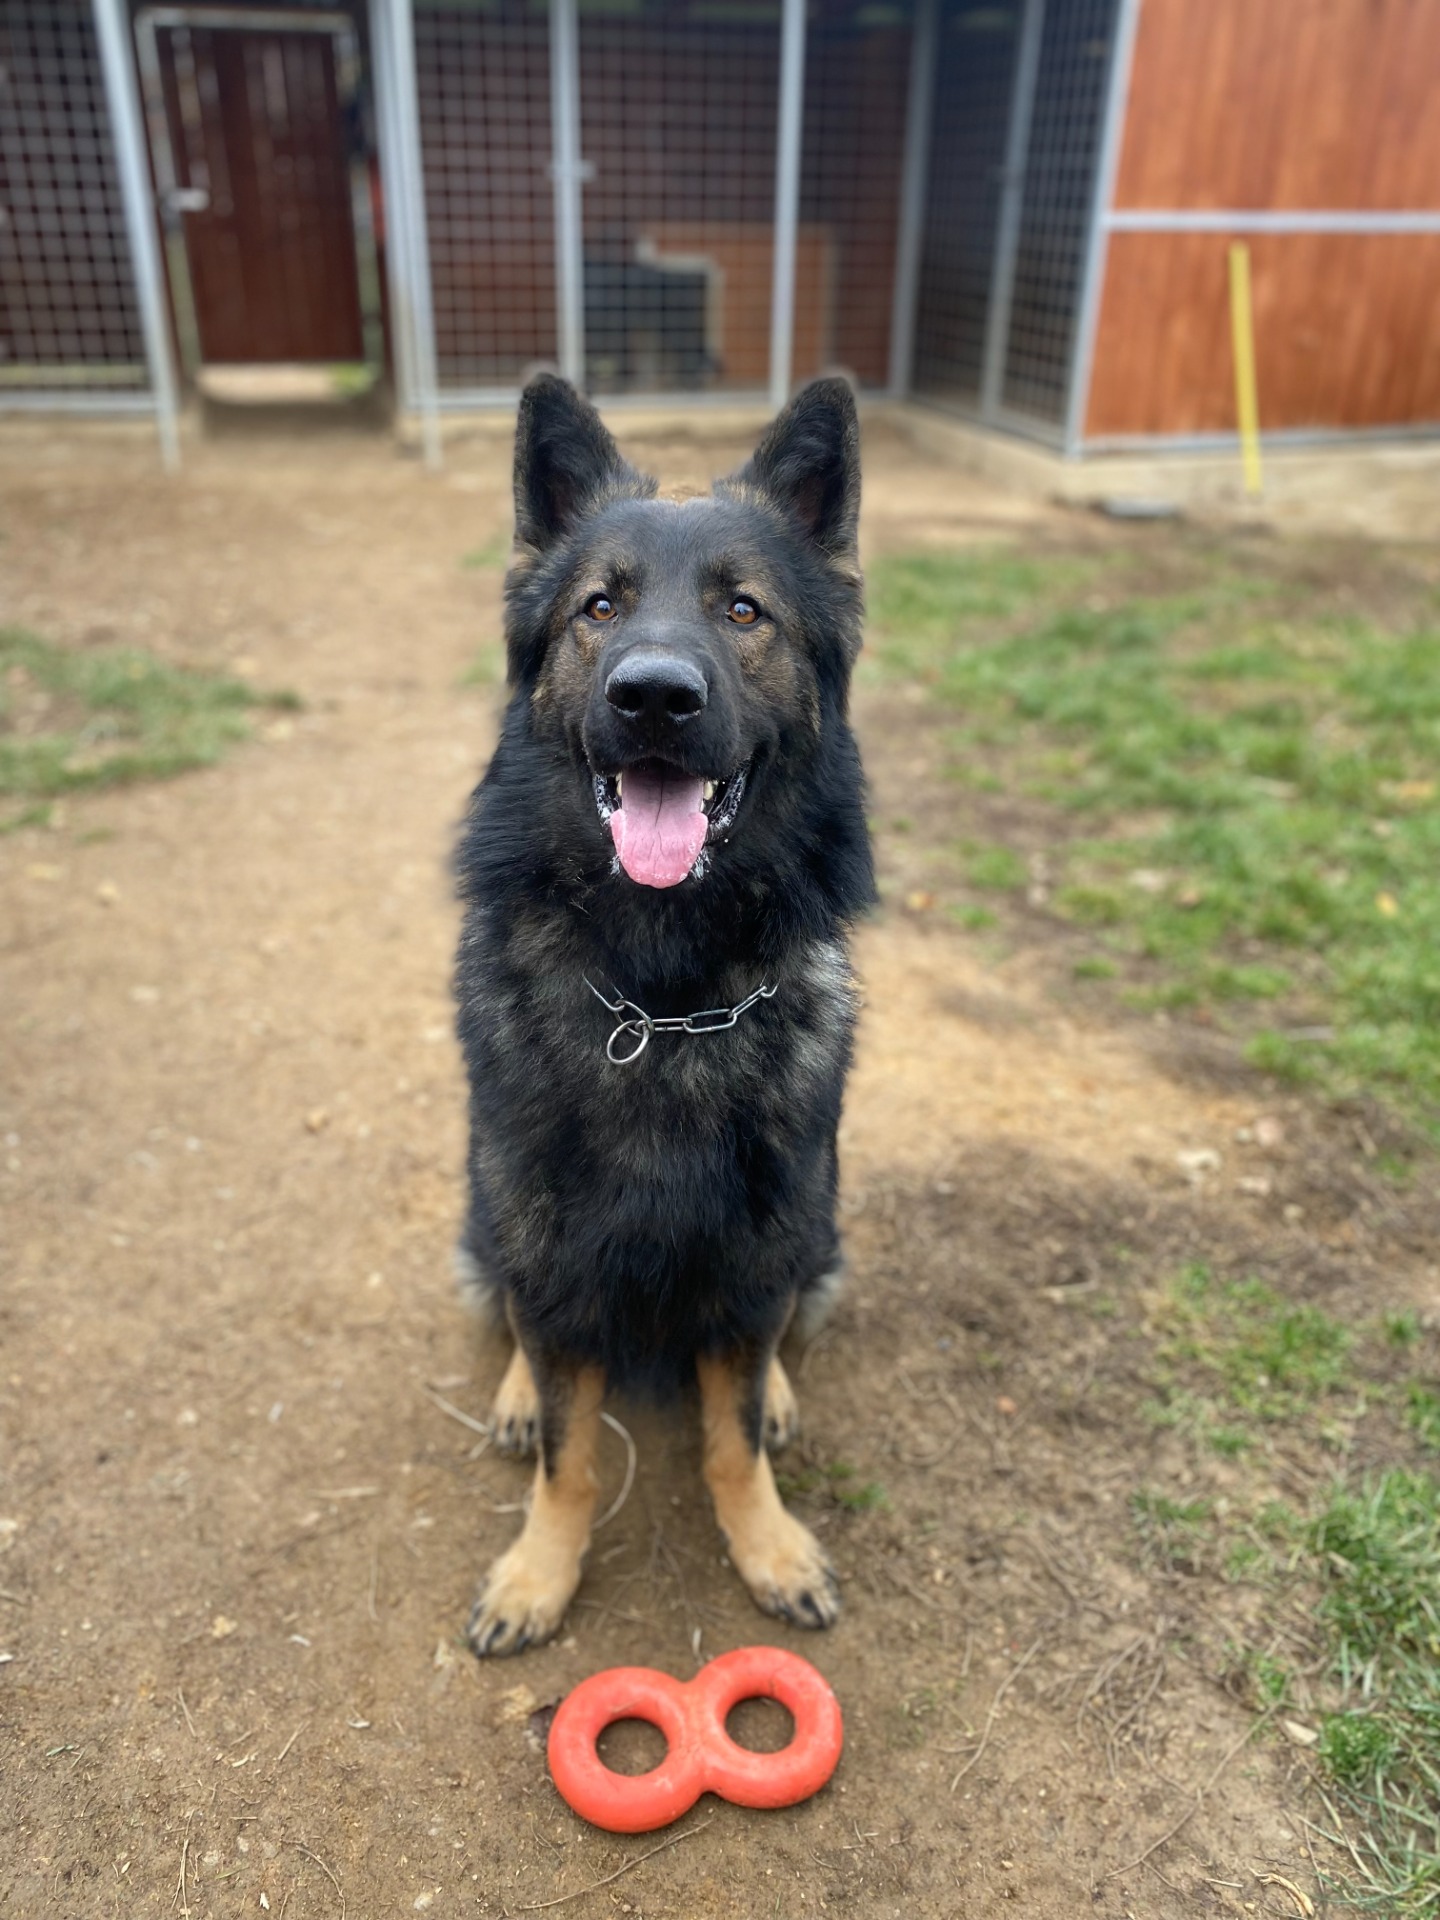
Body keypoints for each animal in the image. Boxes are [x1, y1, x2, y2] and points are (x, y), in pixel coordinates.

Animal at [453, 372, 874, 1655]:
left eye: (744, 611)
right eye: (600, 607)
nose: (652, 697)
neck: (663, 1000)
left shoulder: (758, 1247)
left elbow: (730, 1436)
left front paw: (767, 1542)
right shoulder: (550, 1248)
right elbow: (572, 1453)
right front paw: (540, 1571)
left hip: (820, 1229)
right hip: (486, 1214)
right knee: (516, 1322)